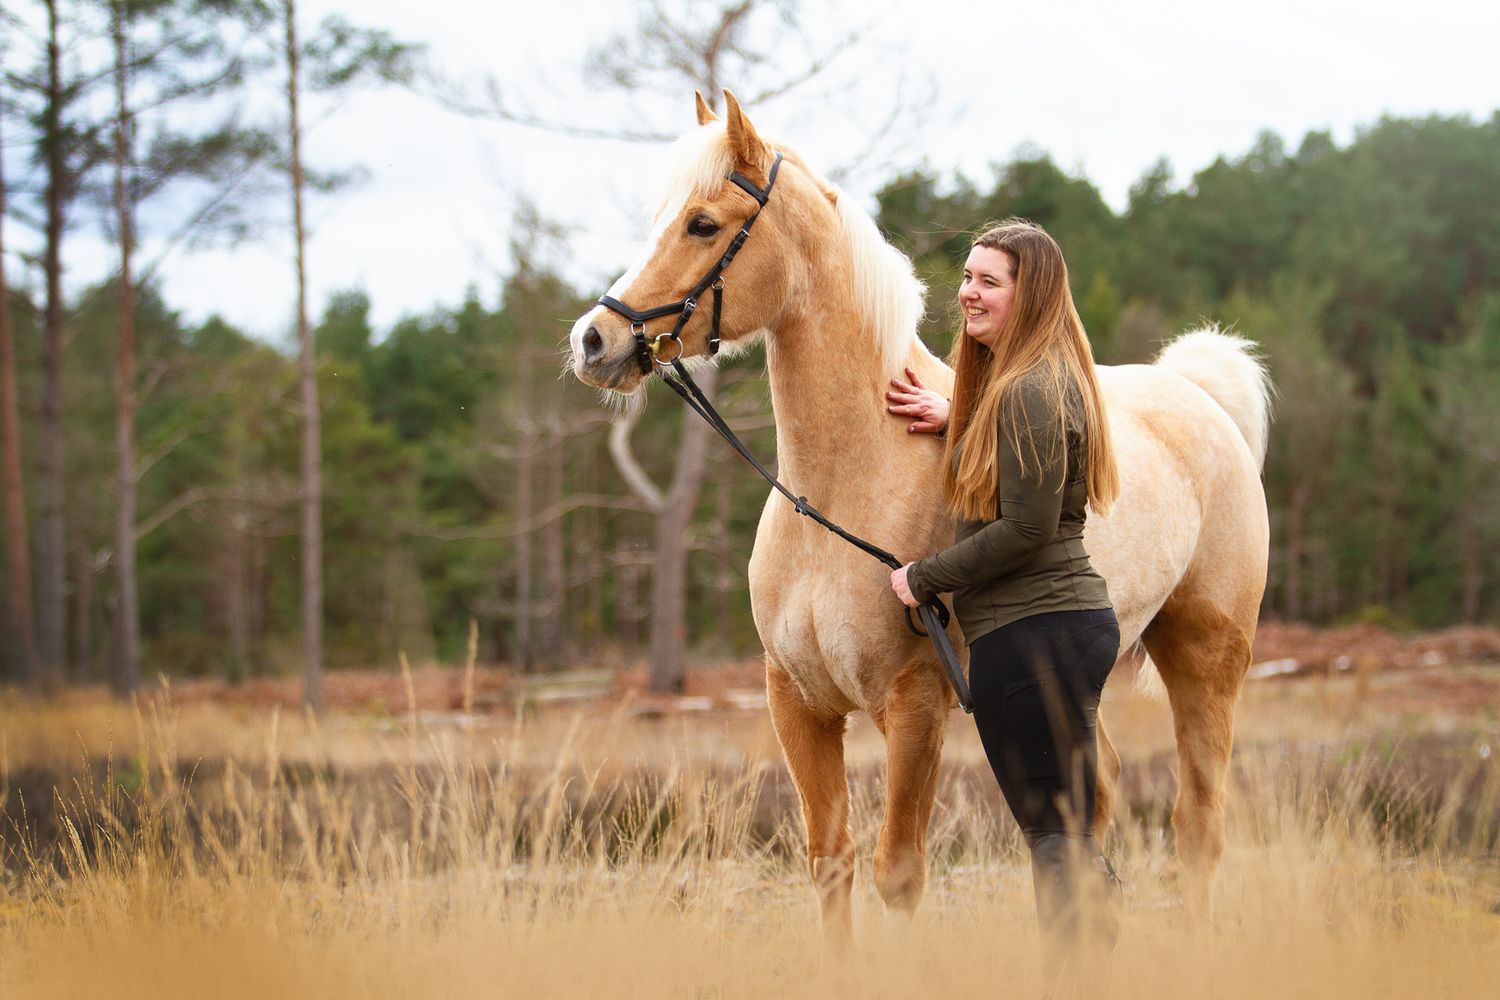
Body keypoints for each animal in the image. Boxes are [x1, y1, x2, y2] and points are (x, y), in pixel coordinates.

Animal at [569, 90, 1271, 955]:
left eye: (702, 223)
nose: (594, 340)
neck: (842, 491)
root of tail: (1203, 400)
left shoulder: (914, 707)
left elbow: (897, 874)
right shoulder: (797, 705)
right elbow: (830, 862)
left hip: (1206, 659)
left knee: (1197, 824)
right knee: (1091, 805)